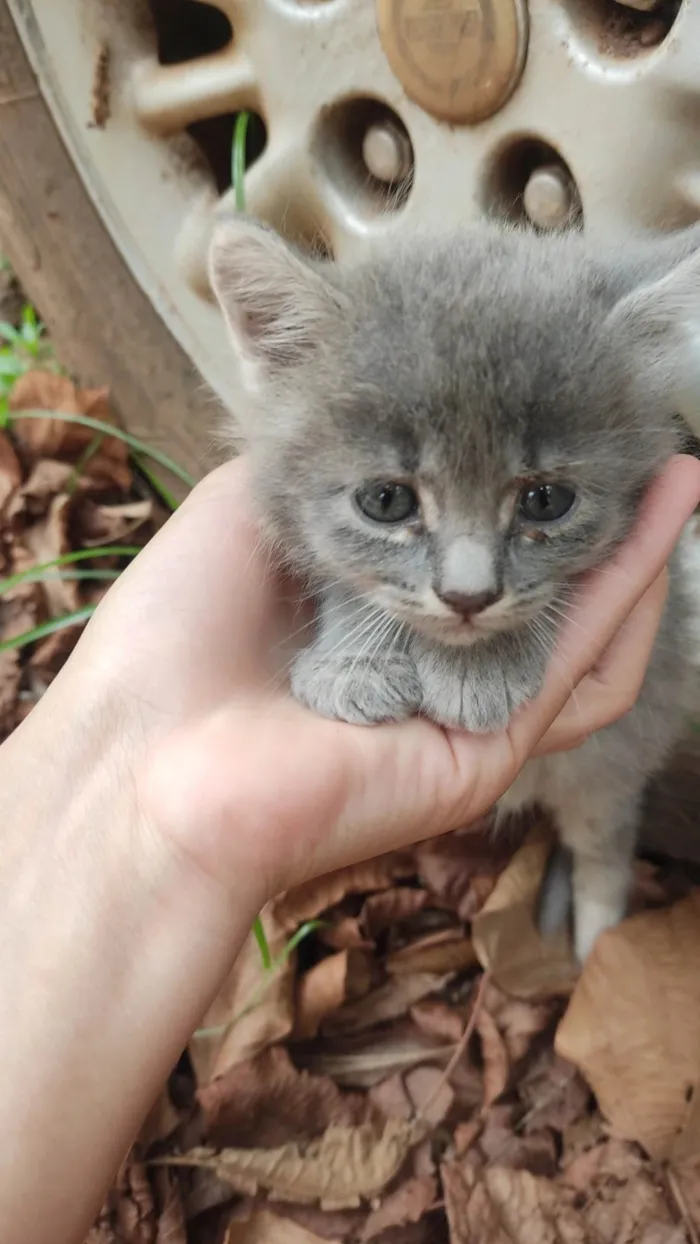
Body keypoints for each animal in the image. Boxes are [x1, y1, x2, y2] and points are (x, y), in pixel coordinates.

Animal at [211, 216, 700, 960]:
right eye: (386, 501)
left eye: (546, 501)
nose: (468, 597)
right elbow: (347, 584)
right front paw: (351, 663)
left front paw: (480, 667)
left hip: (613, 761)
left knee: (603, 844)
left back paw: (596, 942)